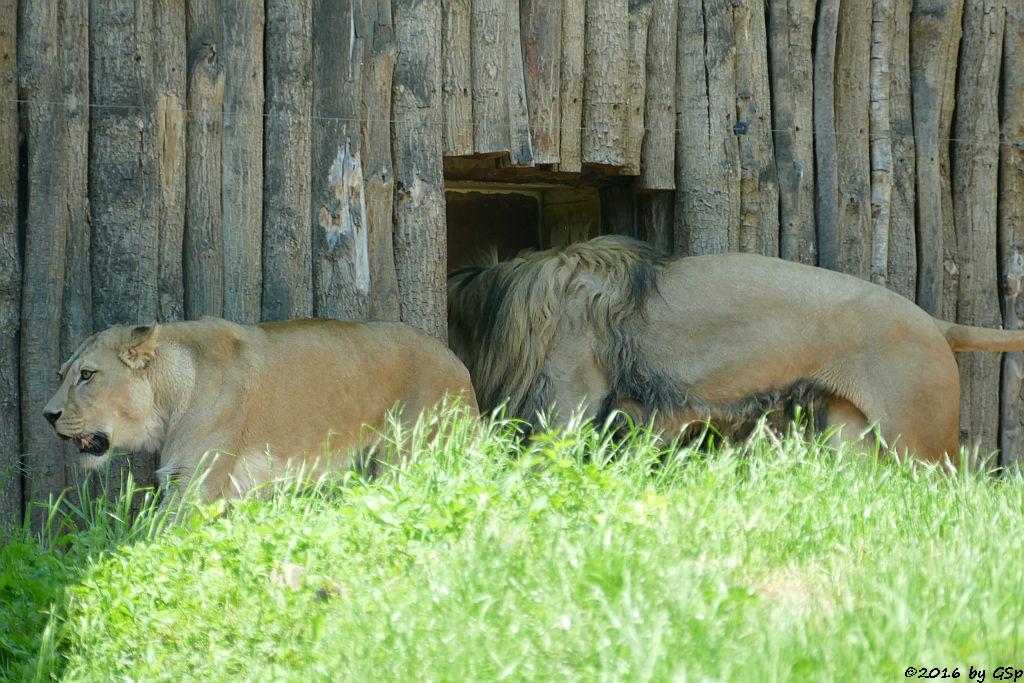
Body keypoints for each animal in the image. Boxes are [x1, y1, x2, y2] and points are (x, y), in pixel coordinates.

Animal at [44, 317, 479, 505]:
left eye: (87, 375)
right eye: (61, 374)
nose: (47, 415)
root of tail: (460, 366)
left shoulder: (194, 483)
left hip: (411, 457)